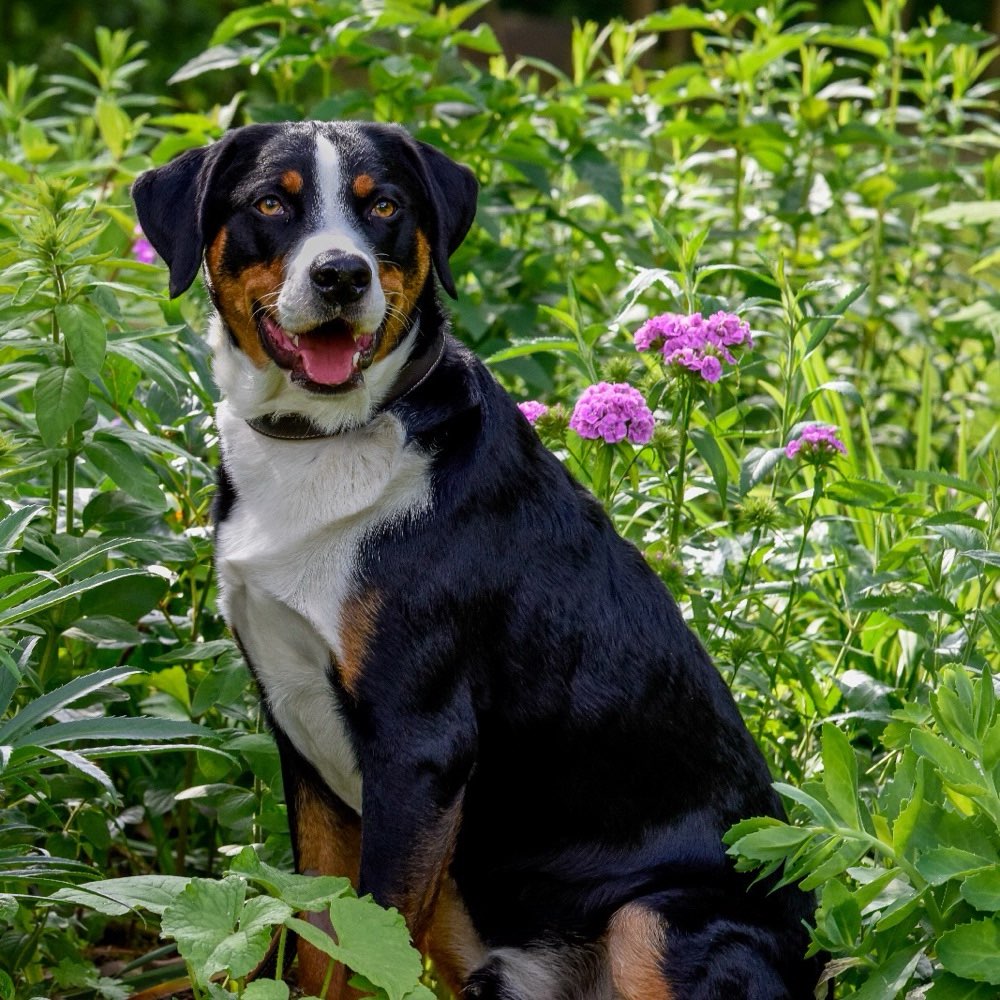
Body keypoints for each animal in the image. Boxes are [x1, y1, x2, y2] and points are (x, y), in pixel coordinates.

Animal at [131, 121, 820, 996]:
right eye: (272, 204)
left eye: (384, 206)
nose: (341, 274)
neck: (322, 445)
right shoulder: (300, 737)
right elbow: (323, 941)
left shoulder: (417, 742)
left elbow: (370, 945)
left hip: (653, 919)